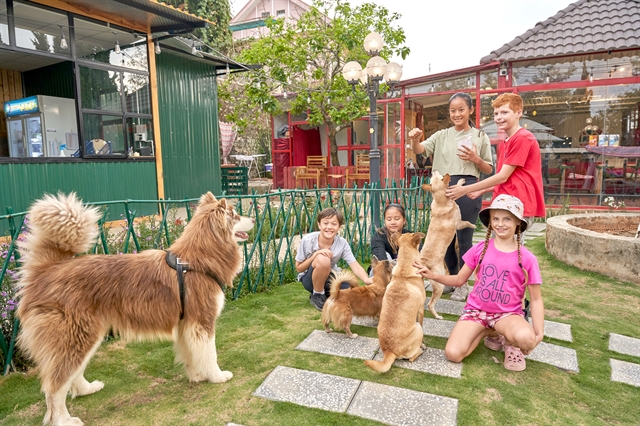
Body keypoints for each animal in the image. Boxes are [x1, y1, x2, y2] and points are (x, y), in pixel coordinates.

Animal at [16, 191, 254, 424]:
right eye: (235, 215)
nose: (252, 219)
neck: (195, 261)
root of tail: (47, 270)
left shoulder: (186, 325)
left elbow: (192, 355)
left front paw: (197, 376)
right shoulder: (202, 322)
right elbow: (209, 354)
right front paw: (217, 376)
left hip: (86, 336)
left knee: (71, 375)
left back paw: (88, 389)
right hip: (75, 337)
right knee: (54, 387)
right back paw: (64, 420)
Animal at [364, 233, 424, 372]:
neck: (403, 271)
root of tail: (390, 351)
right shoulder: (421, 310)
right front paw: (423, 344)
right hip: (418, 329)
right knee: (412, 358)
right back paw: (421, 349)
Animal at [420, 171, 476, 318]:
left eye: (434, 177)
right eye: (439, 176)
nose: (433, 170)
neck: (441, 201)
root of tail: (423, 262)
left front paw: (460, 182)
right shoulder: (459, 224)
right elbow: (467, 222)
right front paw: (473, 225)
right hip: (438, 284)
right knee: (430, 304)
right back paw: (438, 316)